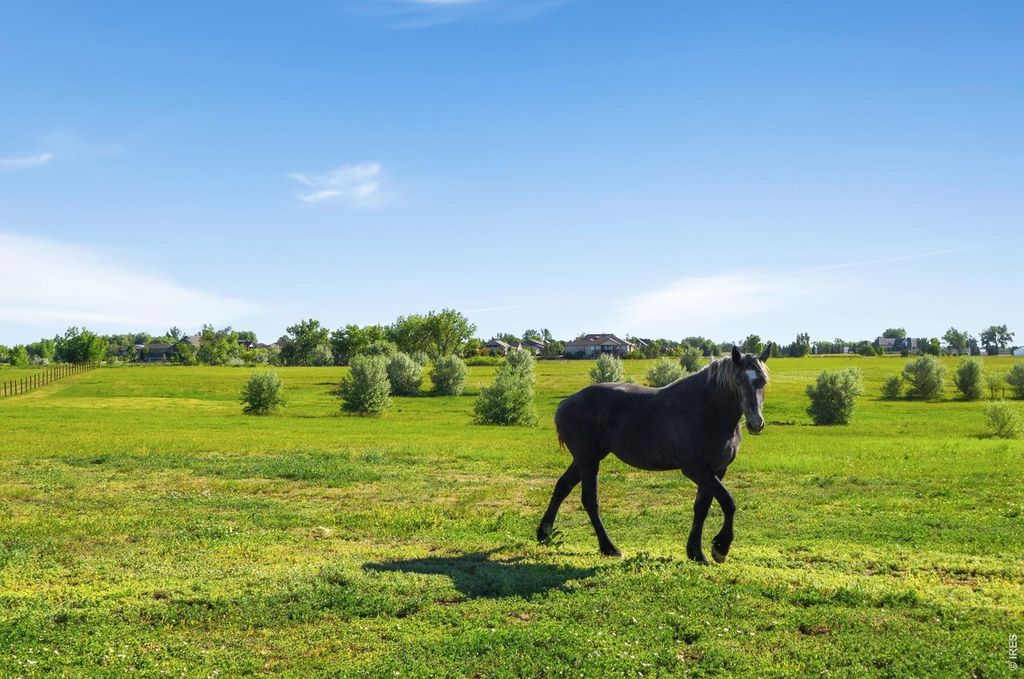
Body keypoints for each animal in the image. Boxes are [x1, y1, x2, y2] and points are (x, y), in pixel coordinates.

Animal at [537, 345, 771, 564]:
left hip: (585, 459)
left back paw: (544, 533)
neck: (708, 410)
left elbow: (702, 508)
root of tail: (565, 404)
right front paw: (721, 547)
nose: (755, 424)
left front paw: (696, 552)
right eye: (738, 382)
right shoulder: (696, 470)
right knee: (590, 502)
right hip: (588, 461)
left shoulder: (717, 470)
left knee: (562, 487)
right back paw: (608, 547)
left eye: (763, 382)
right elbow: (728, 502)